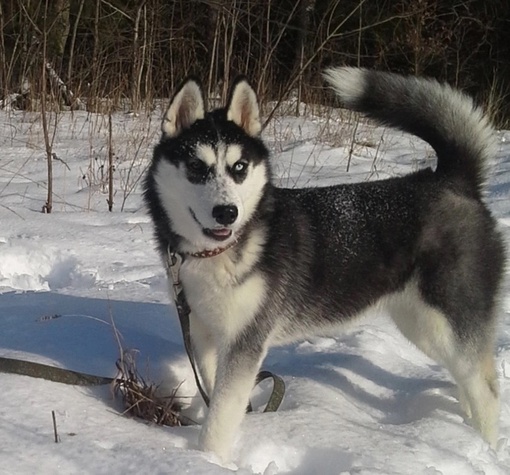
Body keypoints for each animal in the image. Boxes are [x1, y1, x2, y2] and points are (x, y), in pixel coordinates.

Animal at [142, 69, 502, 462]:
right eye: (196, 167)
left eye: (239, 168)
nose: (227, 212)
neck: (217, 253)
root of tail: (452, 180)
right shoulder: (203, 333)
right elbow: (217, 397)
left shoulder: (245, 341)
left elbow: (221, 416)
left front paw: (206, 460)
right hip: (421, 324)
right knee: (467, 377)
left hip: (447, 319)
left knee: (485, 389)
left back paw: (488, 447)